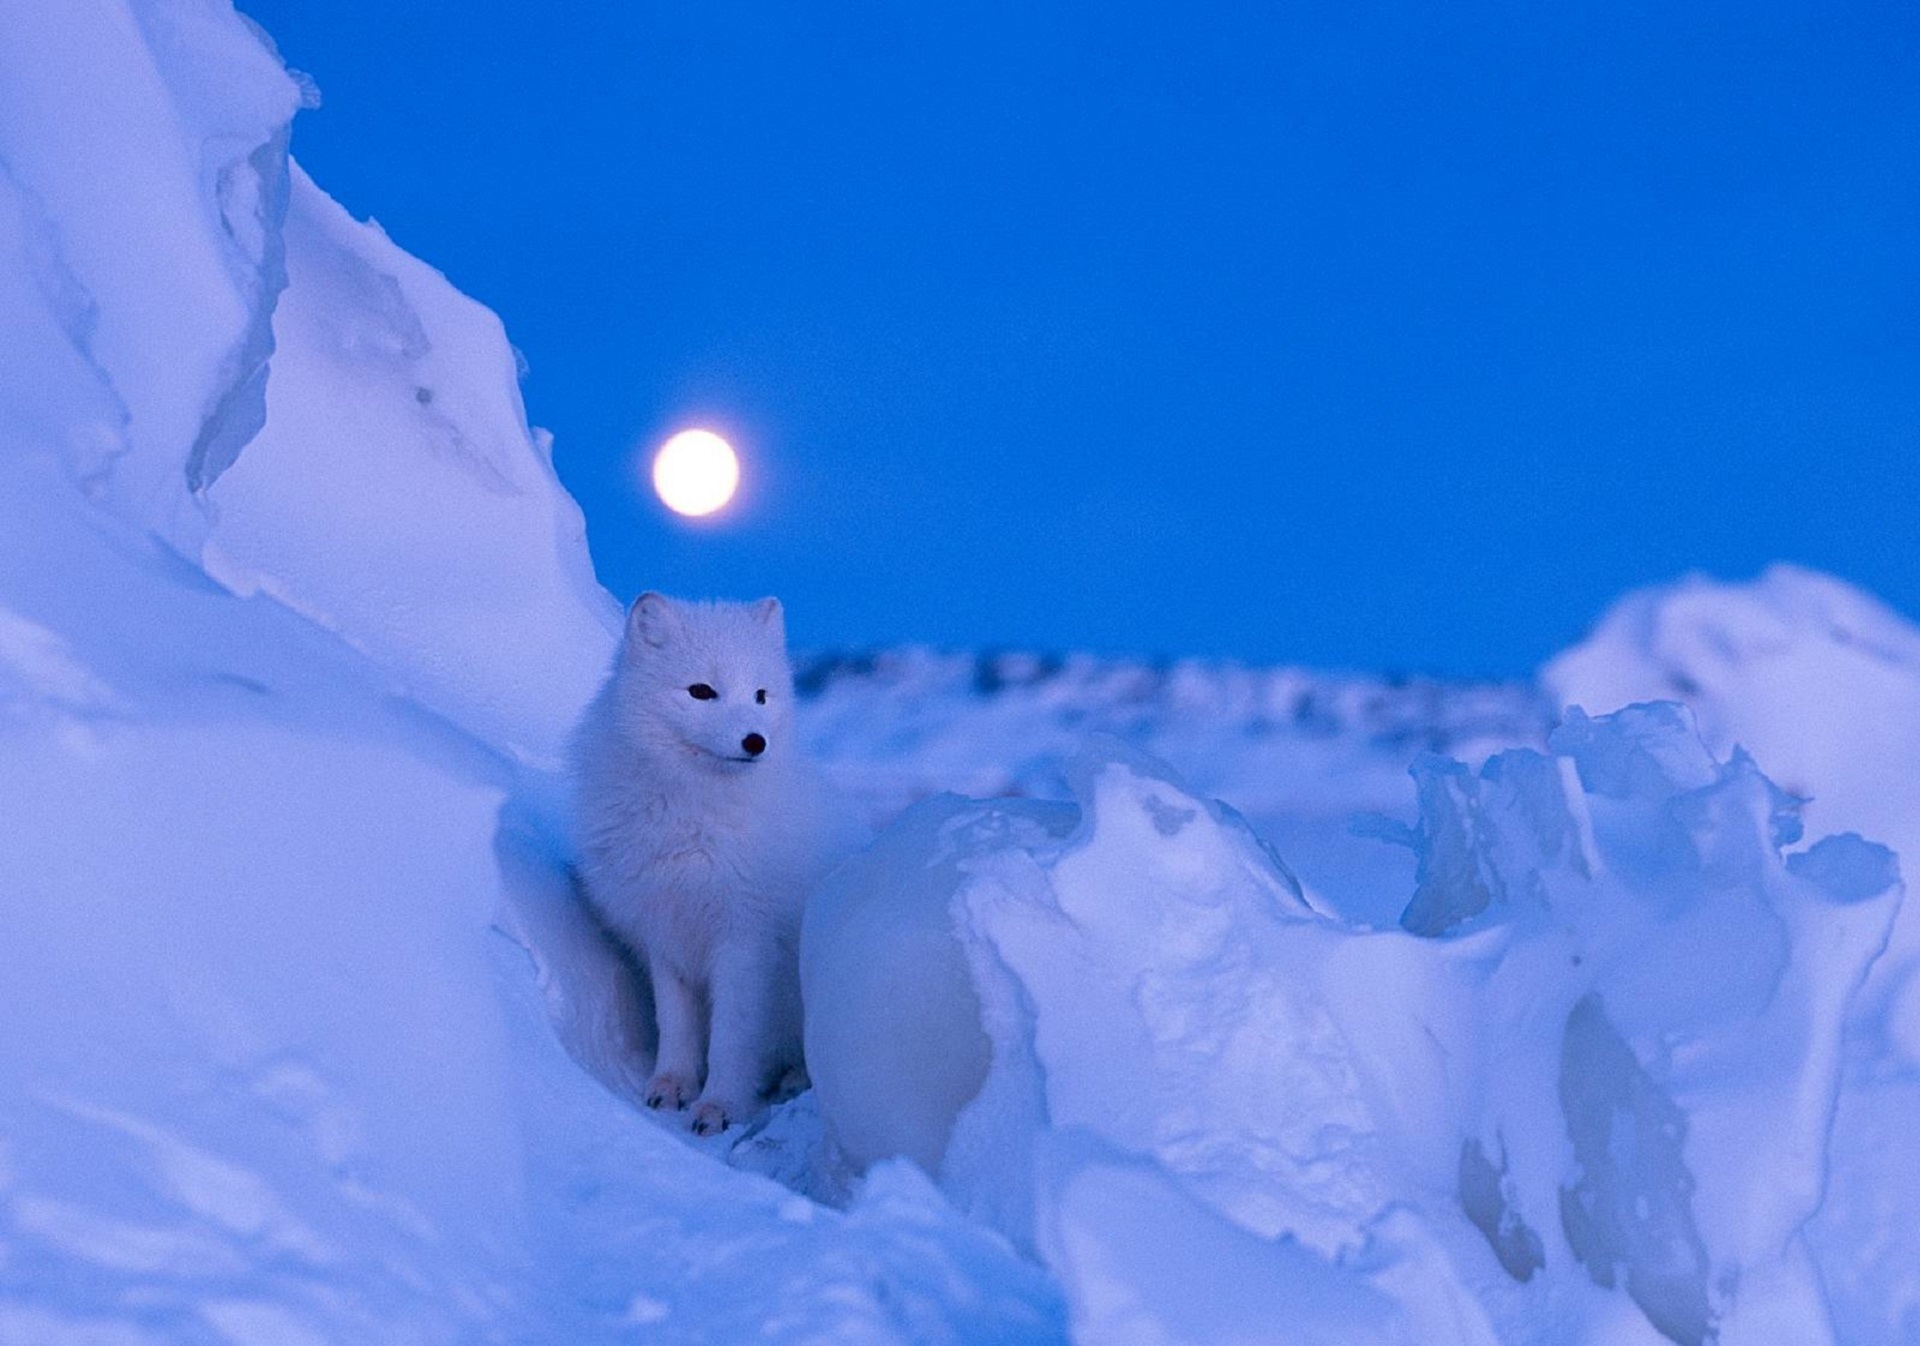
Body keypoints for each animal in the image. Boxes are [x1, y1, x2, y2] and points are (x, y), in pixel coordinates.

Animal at [569, 592, 841, 1135]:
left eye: (760, 696)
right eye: (701, 691)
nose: (755, 741)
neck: (690, 821)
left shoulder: (745, 940)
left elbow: (732, 1038)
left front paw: (720, 1105)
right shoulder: (664, 932)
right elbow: (675, 1024)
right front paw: (670, 1085)